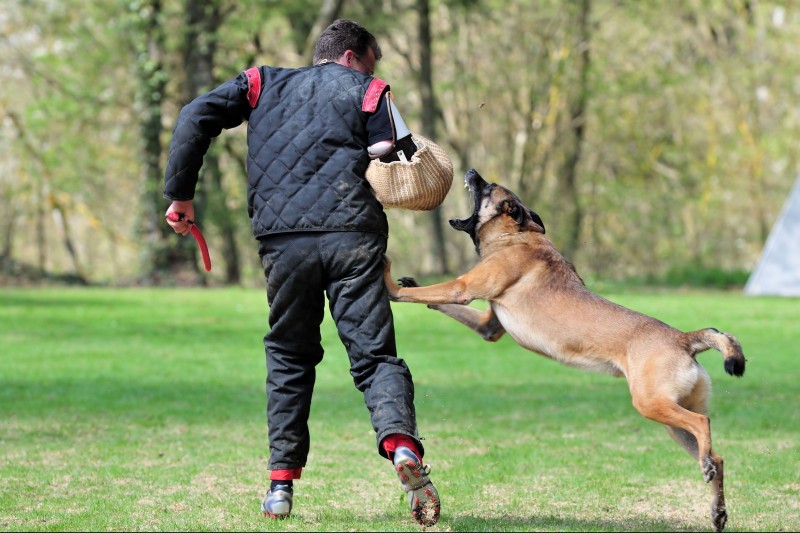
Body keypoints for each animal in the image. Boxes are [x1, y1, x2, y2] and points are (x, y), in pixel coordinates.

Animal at [384, 168, 748, 528]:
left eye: (487, 188)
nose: (472, 171)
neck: (515, 236)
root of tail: (685, 339)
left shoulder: (462, 287)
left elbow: (423, 294)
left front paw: (389, 282)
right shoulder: (489, 326)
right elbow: (435, 301)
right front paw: (411, 283)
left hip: (652, 404)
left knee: (703, 423)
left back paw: (708, 473)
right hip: (672, 419)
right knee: (717, 455)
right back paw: (716, 505)